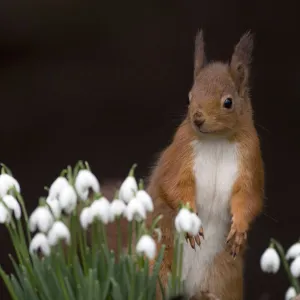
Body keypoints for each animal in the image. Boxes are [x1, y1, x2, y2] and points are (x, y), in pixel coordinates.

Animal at [146, 31, 264, 300]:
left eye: (228, 102)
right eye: (189, 97)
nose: (198, 118)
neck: (216, 140)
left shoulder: (250, 161)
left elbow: (248, 197)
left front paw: (239, 229)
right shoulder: (180, 155)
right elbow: (175, 186)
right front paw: (190, 222)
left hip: (224, 276)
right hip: (156, 264)